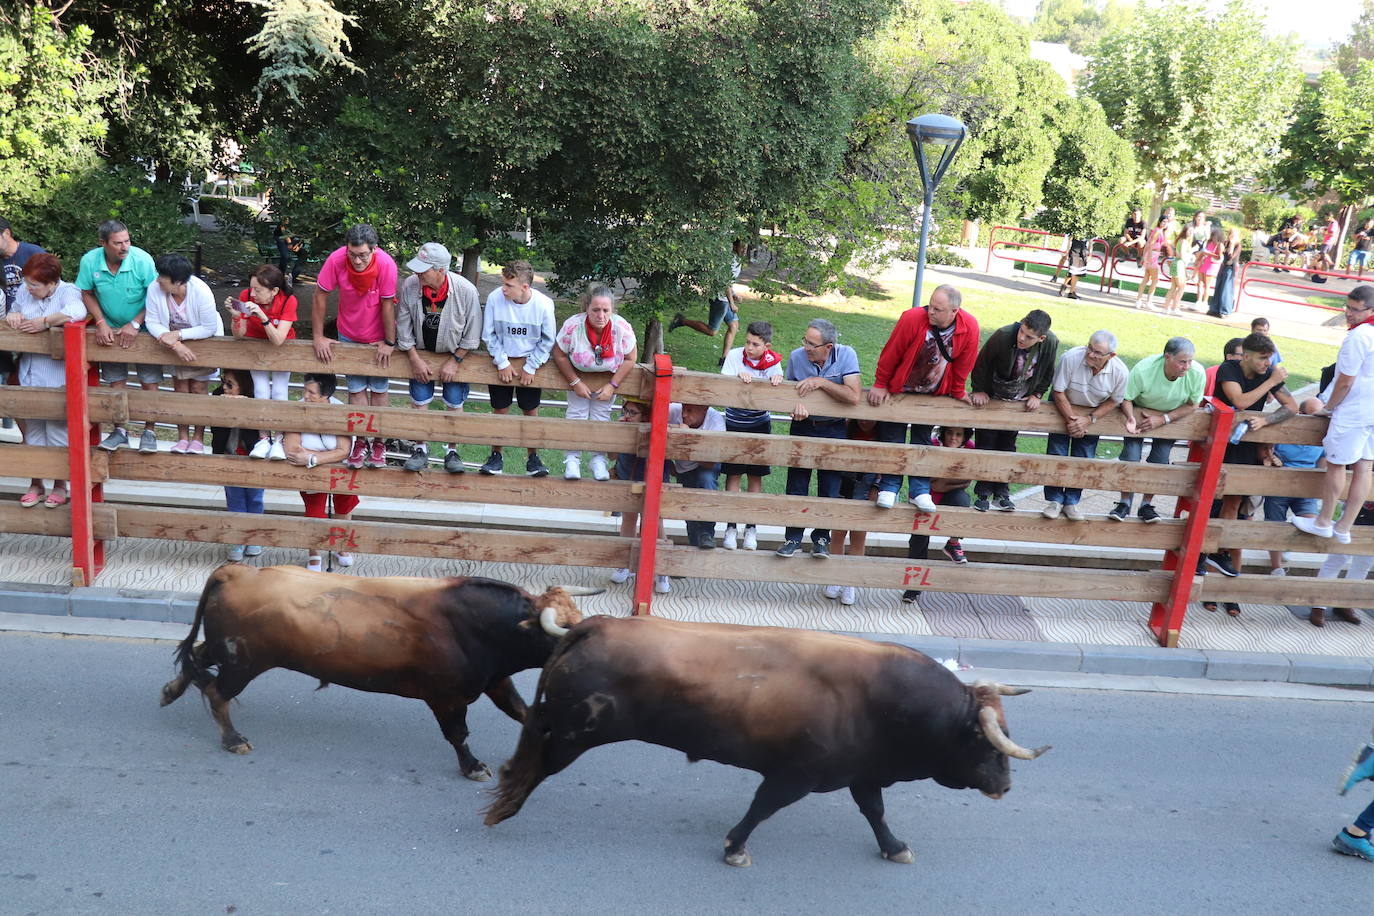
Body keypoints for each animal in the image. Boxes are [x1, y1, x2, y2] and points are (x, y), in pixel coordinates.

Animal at [158, 565, 582, 780]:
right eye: (559, 635)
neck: (482, 626)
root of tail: (236, 571)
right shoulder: (446, 698)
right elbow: (458, 735)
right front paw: (472, 766)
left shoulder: (495, 680)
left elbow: (522, 711)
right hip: (243, 662)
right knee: (217, 692)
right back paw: (233, 739)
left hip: (227, 650)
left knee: (197, 658)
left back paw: (170, 690)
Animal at [486, 615, 1049, 867]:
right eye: (987, 743)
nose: (1005, 787)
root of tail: (598, 623)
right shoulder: (794, 776)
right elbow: (761, 809)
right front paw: (735, 847)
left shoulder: (861, 773)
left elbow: (875, 812)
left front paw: (894, 847)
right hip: (573, 733)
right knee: (537, 759)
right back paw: (505, 805)